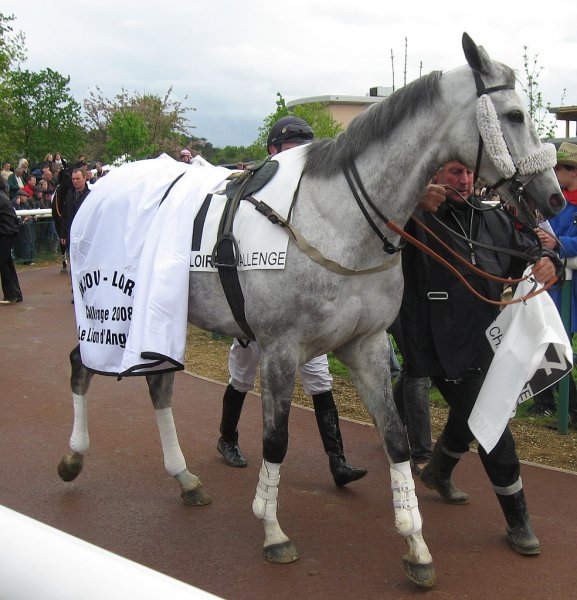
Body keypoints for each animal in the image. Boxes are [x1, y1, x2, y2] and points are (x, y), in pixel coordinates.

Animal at [58, 34, 564, 592]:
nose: (554, 197)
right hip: (108, 313)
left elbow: (396, 440)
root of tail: (99, 187)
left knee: (159, 385)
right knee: (82, 366)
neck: (335, 219)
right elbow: (275, 440)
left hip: (162, 319)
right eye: (514, 115)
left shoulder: (366, 345)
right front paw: (273, 532)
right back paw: (74, 458)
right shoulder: (280, 348)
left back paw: (185, 479)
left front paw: (416, 546)